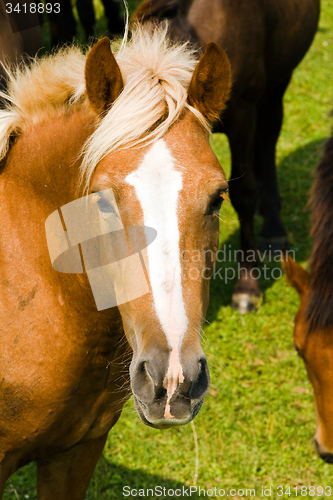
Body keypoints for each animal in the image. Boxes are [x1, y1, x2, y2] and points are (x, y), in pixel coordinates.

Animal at [134, 0, 320, 312]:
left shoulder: (243, 115)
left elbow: (243, 193)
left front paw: (247, 285)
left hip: (278, 83)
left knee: (268, 138)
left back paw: (273, 226)